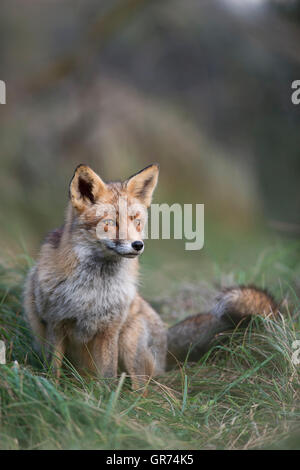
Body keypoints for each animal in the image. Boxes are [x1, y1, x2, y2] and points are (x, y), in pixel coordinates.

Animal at [24, 163, 278, 388]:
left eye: (136, 221)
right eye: (111, 223)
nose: (138, 245)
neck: (93, 289)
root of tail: (165, 342)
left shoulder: (110, 330)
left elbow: (106, 377)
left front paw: (106, 402)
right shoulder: (56, 325)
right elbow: (53, 371)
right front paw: (53, 391)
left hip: (128, 342)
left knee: (144, 389)